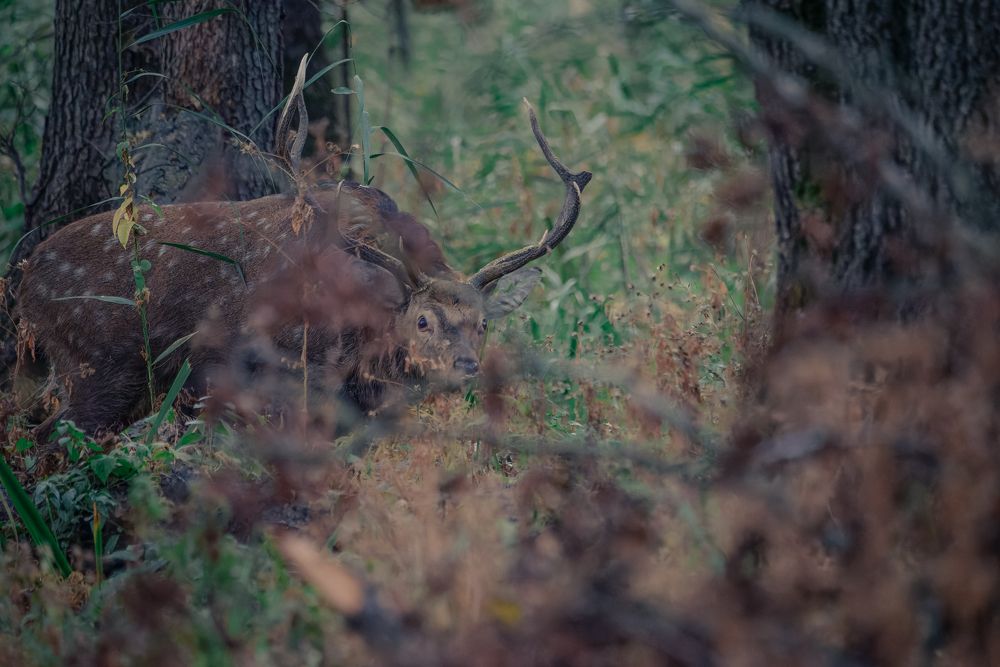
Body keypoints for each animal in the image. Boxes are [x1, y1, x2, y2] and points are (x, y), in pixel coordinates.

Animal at [14, 60, 592, 440]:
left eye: (484, 322)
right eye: (423, 320)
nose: (466, 366)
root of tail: (22, 282)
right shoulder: (277, 382)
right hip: (99, 364)